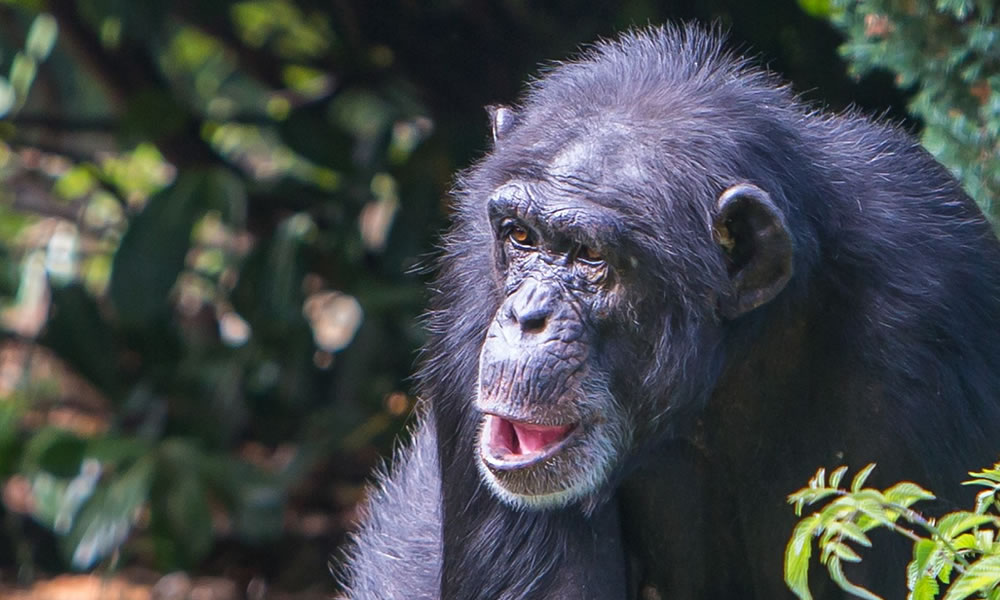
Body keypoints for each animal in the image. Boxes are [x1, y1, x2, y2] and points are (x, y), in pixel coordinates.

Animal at [336, 23, 1000, 600]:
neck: (739, 348)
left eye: (591, 256)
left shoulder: (929, 303)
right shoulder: (470, 291)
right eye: (521, 237)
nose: (526, 316)